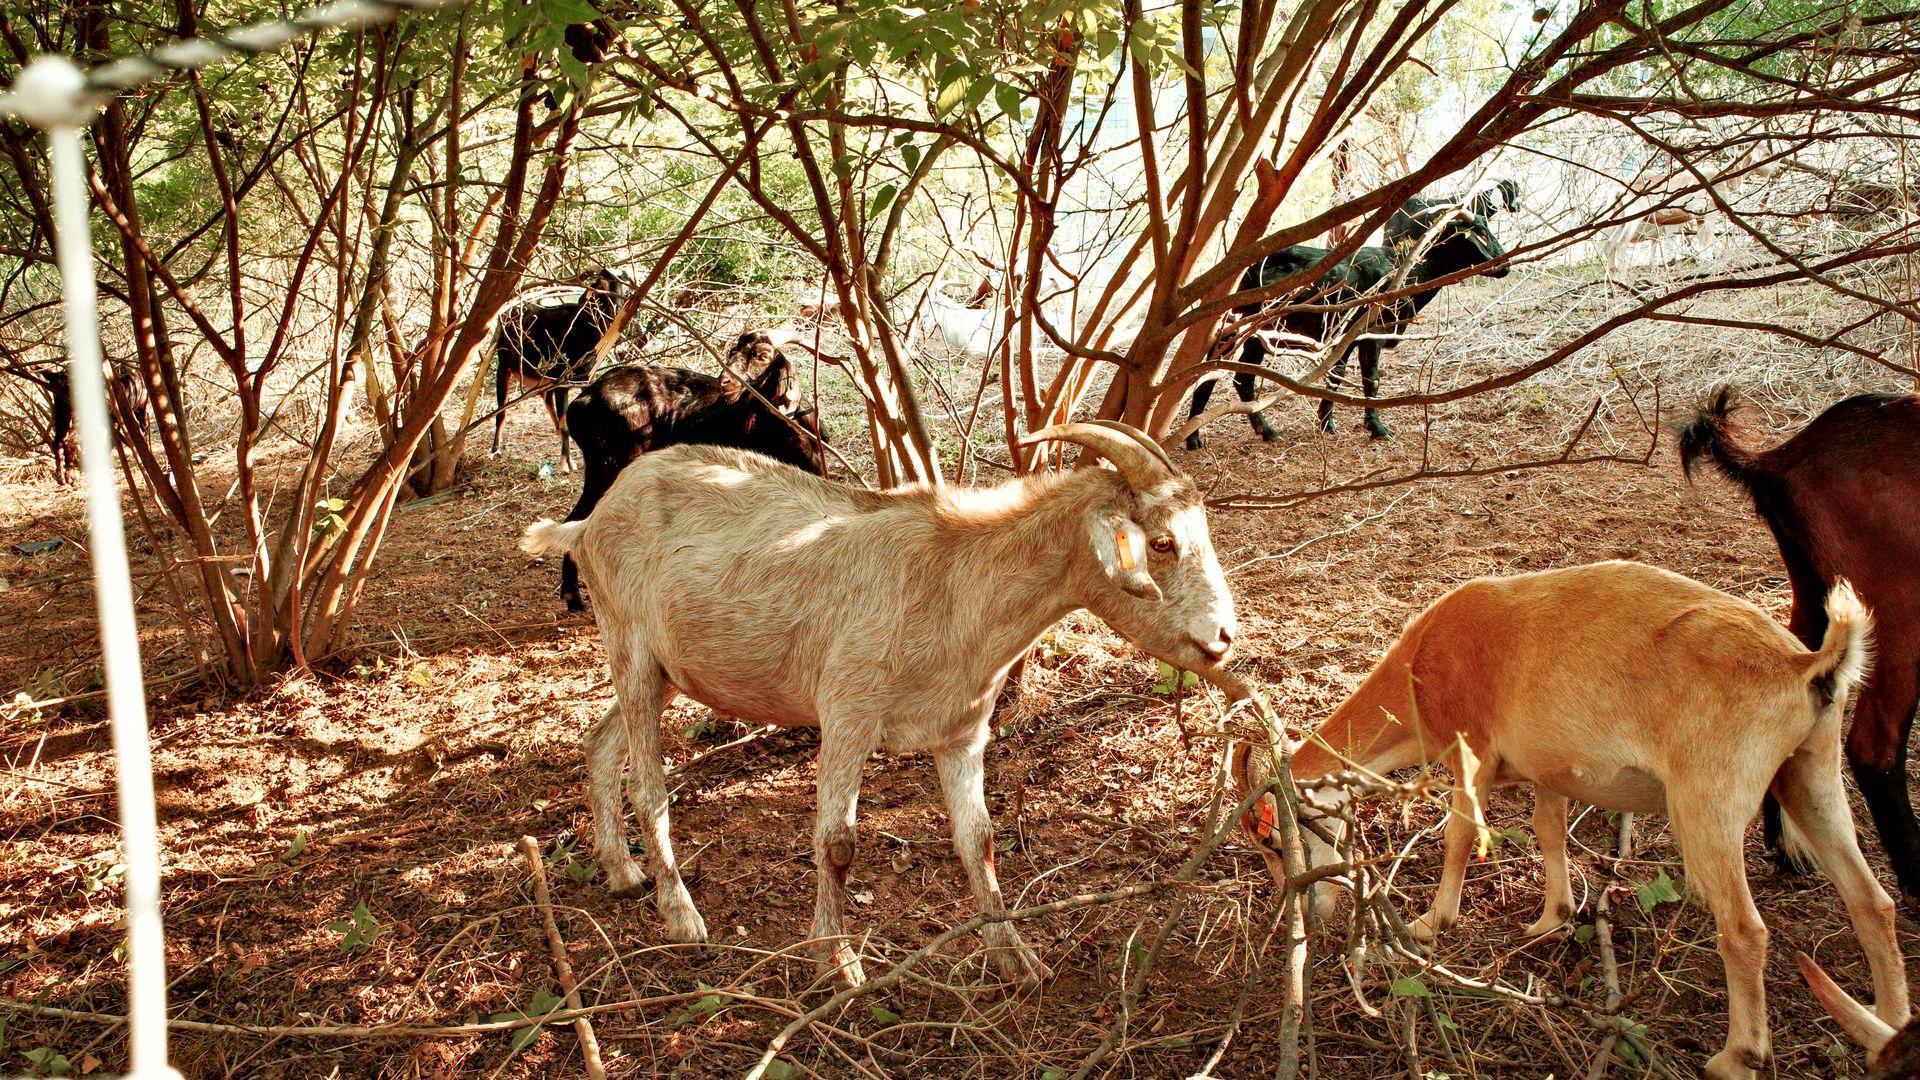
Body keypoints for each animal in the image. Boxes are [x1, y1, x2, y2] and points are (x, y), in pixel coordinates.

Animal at [490, 268, 630, 472]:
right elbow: (566, 425)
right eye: (603, 286)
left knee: (546, 398)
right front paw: (566, 463)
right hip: (504, 367)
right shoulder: (562, 382)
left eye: (625, 286)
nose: (618, 308)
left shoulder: (582, 380)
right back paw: (495, 450)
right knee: (502, 411)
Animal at [521, 421, 1239, 987]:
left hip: (667, 668)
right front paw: (836, 962)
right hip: (631, 647)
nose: (1226, 636)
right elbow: (837, 843)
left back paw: (620, 870)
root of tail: (589, 520)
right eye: (1163, 542)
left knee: (599, 741)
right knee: (649, 787)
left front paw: (1016, 957)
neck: (954, 581)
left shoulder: (962, 731)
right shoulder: (847, 714)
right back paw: (681, 914)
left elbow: (978, 839)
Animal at [555, 332, 828, 612]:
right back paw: (575, 595)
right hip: (609, 468)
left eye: (762, 356)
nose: (725, 382)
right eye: (733, 352)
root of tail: (582, 401)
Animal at [1185, 210, 1507, 447]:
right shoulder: (1370, 334)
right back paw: (1195, 436)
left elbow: (1337, 375)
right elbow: (1371, 379)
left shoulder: (1346, 339)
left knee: (1242, 378)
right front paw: (1378, 428)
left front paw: (1327, 422)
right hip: (1241, 326)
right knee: (1213, 373)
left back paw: (1265, 431)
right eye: (1478, 234)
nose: (1504, 265)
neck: (1406, 271)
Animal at [1229, 561, 1904, 1080]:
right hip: (1811, 773)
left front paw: (1430, 923)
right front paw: (1551, 917)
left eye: (1273, 837)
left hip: (1706, 800)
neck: (1423, 664)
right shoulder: (1548, 771)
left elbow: (1460, 832)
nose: (1309, 909)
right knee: (1872, 900)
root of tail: (1807, 667)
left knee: (1744, 930)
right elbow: (1548, 829)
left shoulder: (1472, 750)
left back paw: (1735, 1057)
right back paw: (1892, 1025)